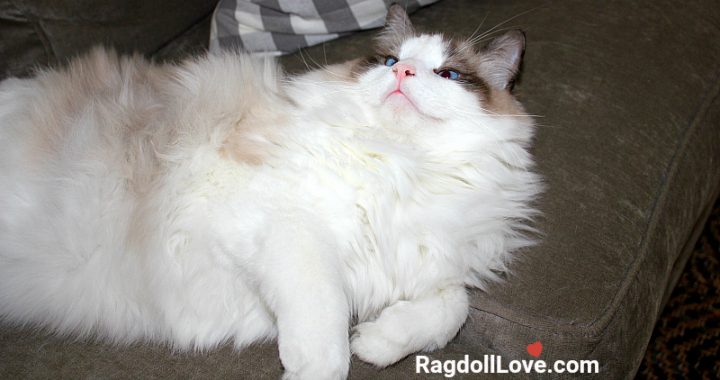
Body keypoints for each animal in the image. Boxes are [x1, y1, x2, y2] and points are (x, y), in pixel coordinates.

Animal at [0, 3, 540, 380]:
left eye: (448, 74)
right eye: (390, 60)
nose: (401, 73)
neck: (400, 164)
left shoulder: (429, 260)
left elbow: (453, 306)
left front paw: (377, 343)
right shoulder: (288, 229)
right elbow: (324, 324)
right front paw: (317, 366)